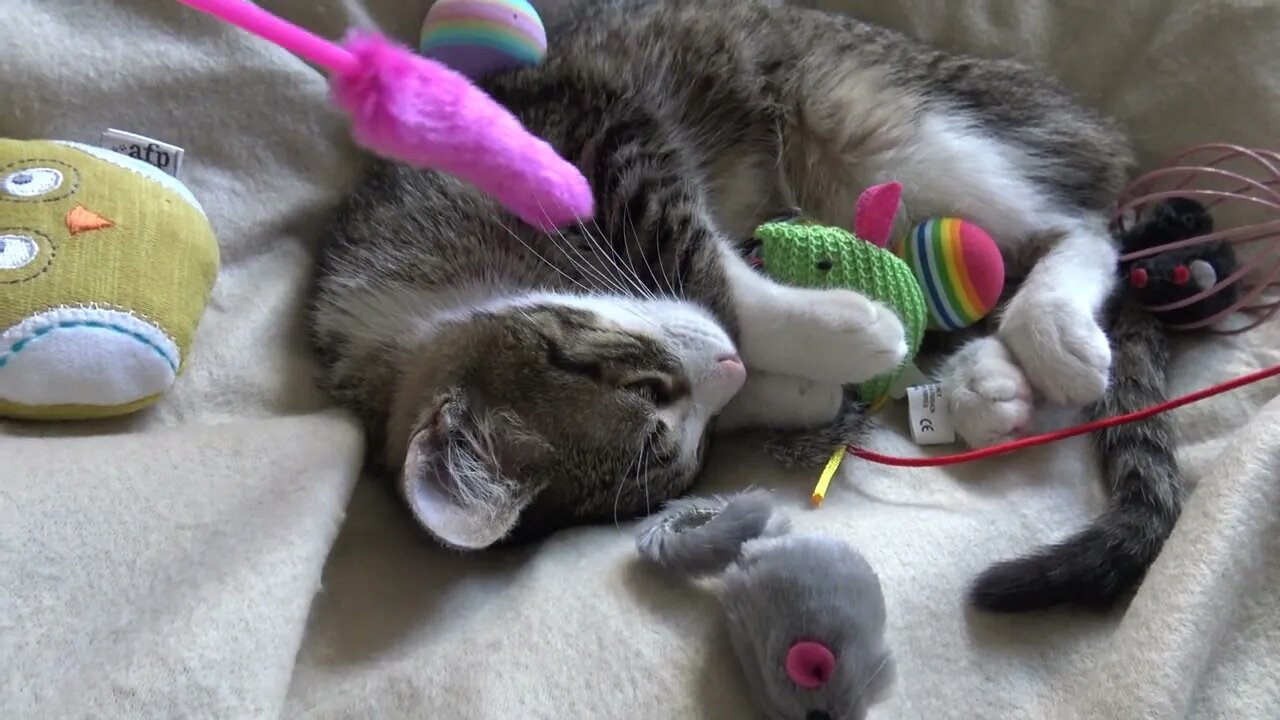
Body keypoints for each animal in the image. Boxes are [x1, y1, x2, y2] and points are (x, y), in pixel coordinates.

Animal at [307, 0, 1177, 609]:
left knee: (1083, 227)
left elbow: (705, 265)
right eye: (684, 450)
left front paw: (839, 328)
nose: (722, 367)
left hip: (875, 119)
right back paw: (984, 384)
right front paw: (796, 385)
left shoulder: (593, 135)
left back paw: (1053, 330)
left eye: (648, 385)